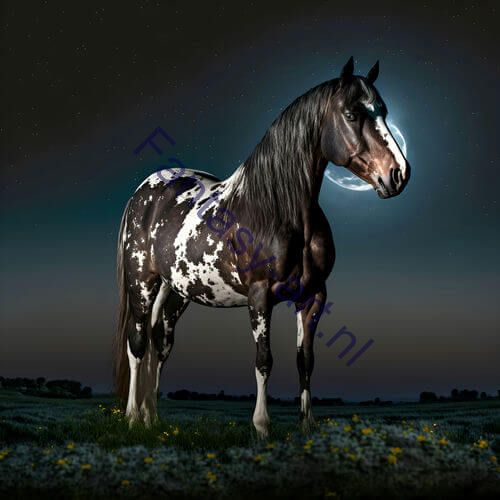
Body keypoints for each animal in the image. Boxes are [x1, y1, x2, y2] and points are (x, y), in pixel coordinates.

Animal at [114, 56, 410, 436]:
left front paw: (306, 424)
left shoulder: (313, 297)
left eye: (383, 111)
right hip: (142, 284)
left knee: (159, 344)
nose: (399, 174)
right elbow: (264, 361)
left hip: (175, 293)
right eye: (351, 113)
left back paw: (151, 418)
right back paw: (132, 417)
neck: (277, 209)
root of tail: (145, 191)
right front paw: (261, 425)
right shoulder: (260, 296)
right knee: (137, 346)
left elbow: (305, 361)